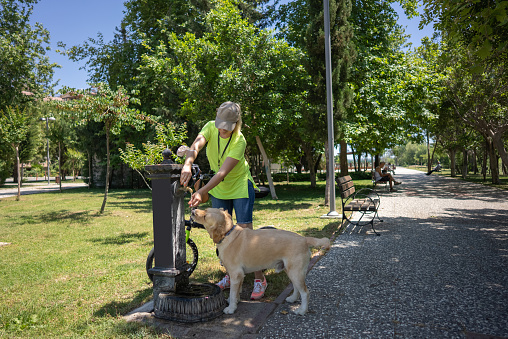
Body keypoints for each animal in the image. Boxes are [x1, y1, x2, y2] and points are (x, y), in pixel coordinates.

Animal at [192, 207, 332, 316]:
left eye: (205, 216)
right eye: (205, 209)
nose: (193, 211)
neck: (228, 234)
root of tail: (304, 239)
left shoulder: (236, 274)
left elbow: (232, 293)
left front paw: (231, 308)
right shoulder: (239, 275)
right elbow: (236, 293)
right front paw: (235, 302)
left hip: (295, 272)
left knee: (305, 292)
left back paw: (302, 310)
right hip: (291, 271)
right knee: (297, 288)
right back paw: (292, 299)